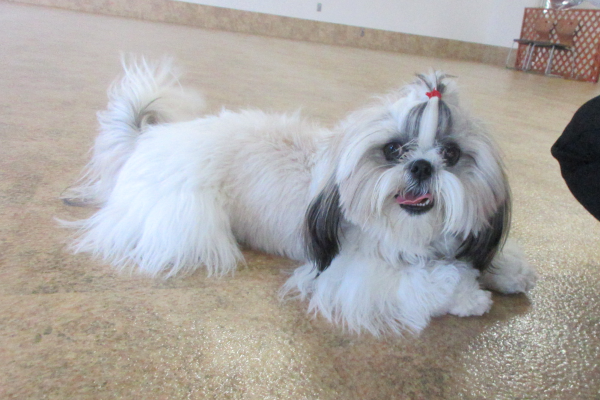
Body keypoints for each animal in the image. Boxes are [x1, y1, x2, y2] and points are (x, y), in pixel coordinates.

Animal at [62, 57, 537, 335]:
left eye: (451, 153)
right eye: (393, 150)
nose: (422, 165)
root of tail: (148, 139)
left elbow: (476, 257)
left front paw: (507, 271)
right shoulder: (350, 271)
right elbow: (430, 279)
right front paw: (470, 294)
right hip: (187, 216)